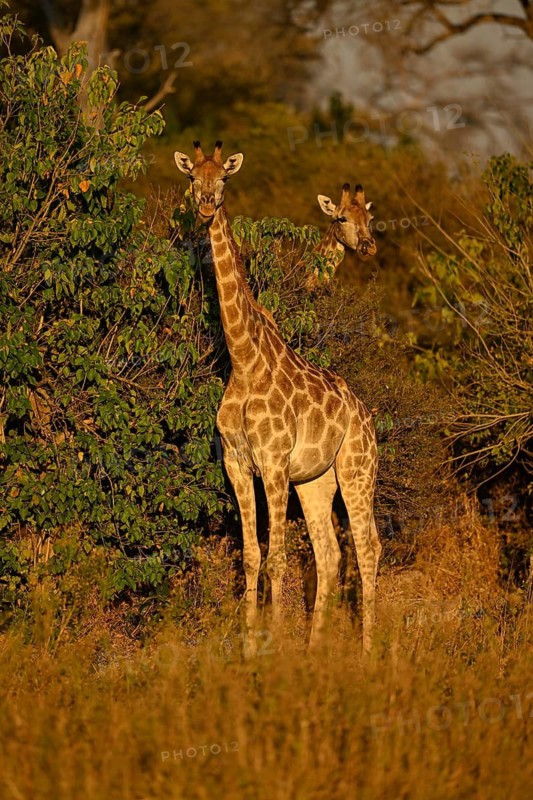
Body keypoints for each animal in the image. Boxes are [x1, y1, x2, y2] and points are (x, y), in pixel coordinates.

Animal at [174, 141, 381, 651]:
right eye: (192, 178)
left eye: (224, 180)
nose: (205, 205)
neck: (245, 360)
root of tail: (368, 418)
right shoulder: (237, 462)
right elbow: (252, 556)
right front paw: (251, 647)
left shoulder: (273, 463)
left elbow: (278, 559)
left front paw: (270, 647)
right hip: (316, 480)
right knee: (329, 553)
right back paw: (313, 648)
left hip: (357, 471)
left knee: (367, 547)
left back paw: (370, 652)